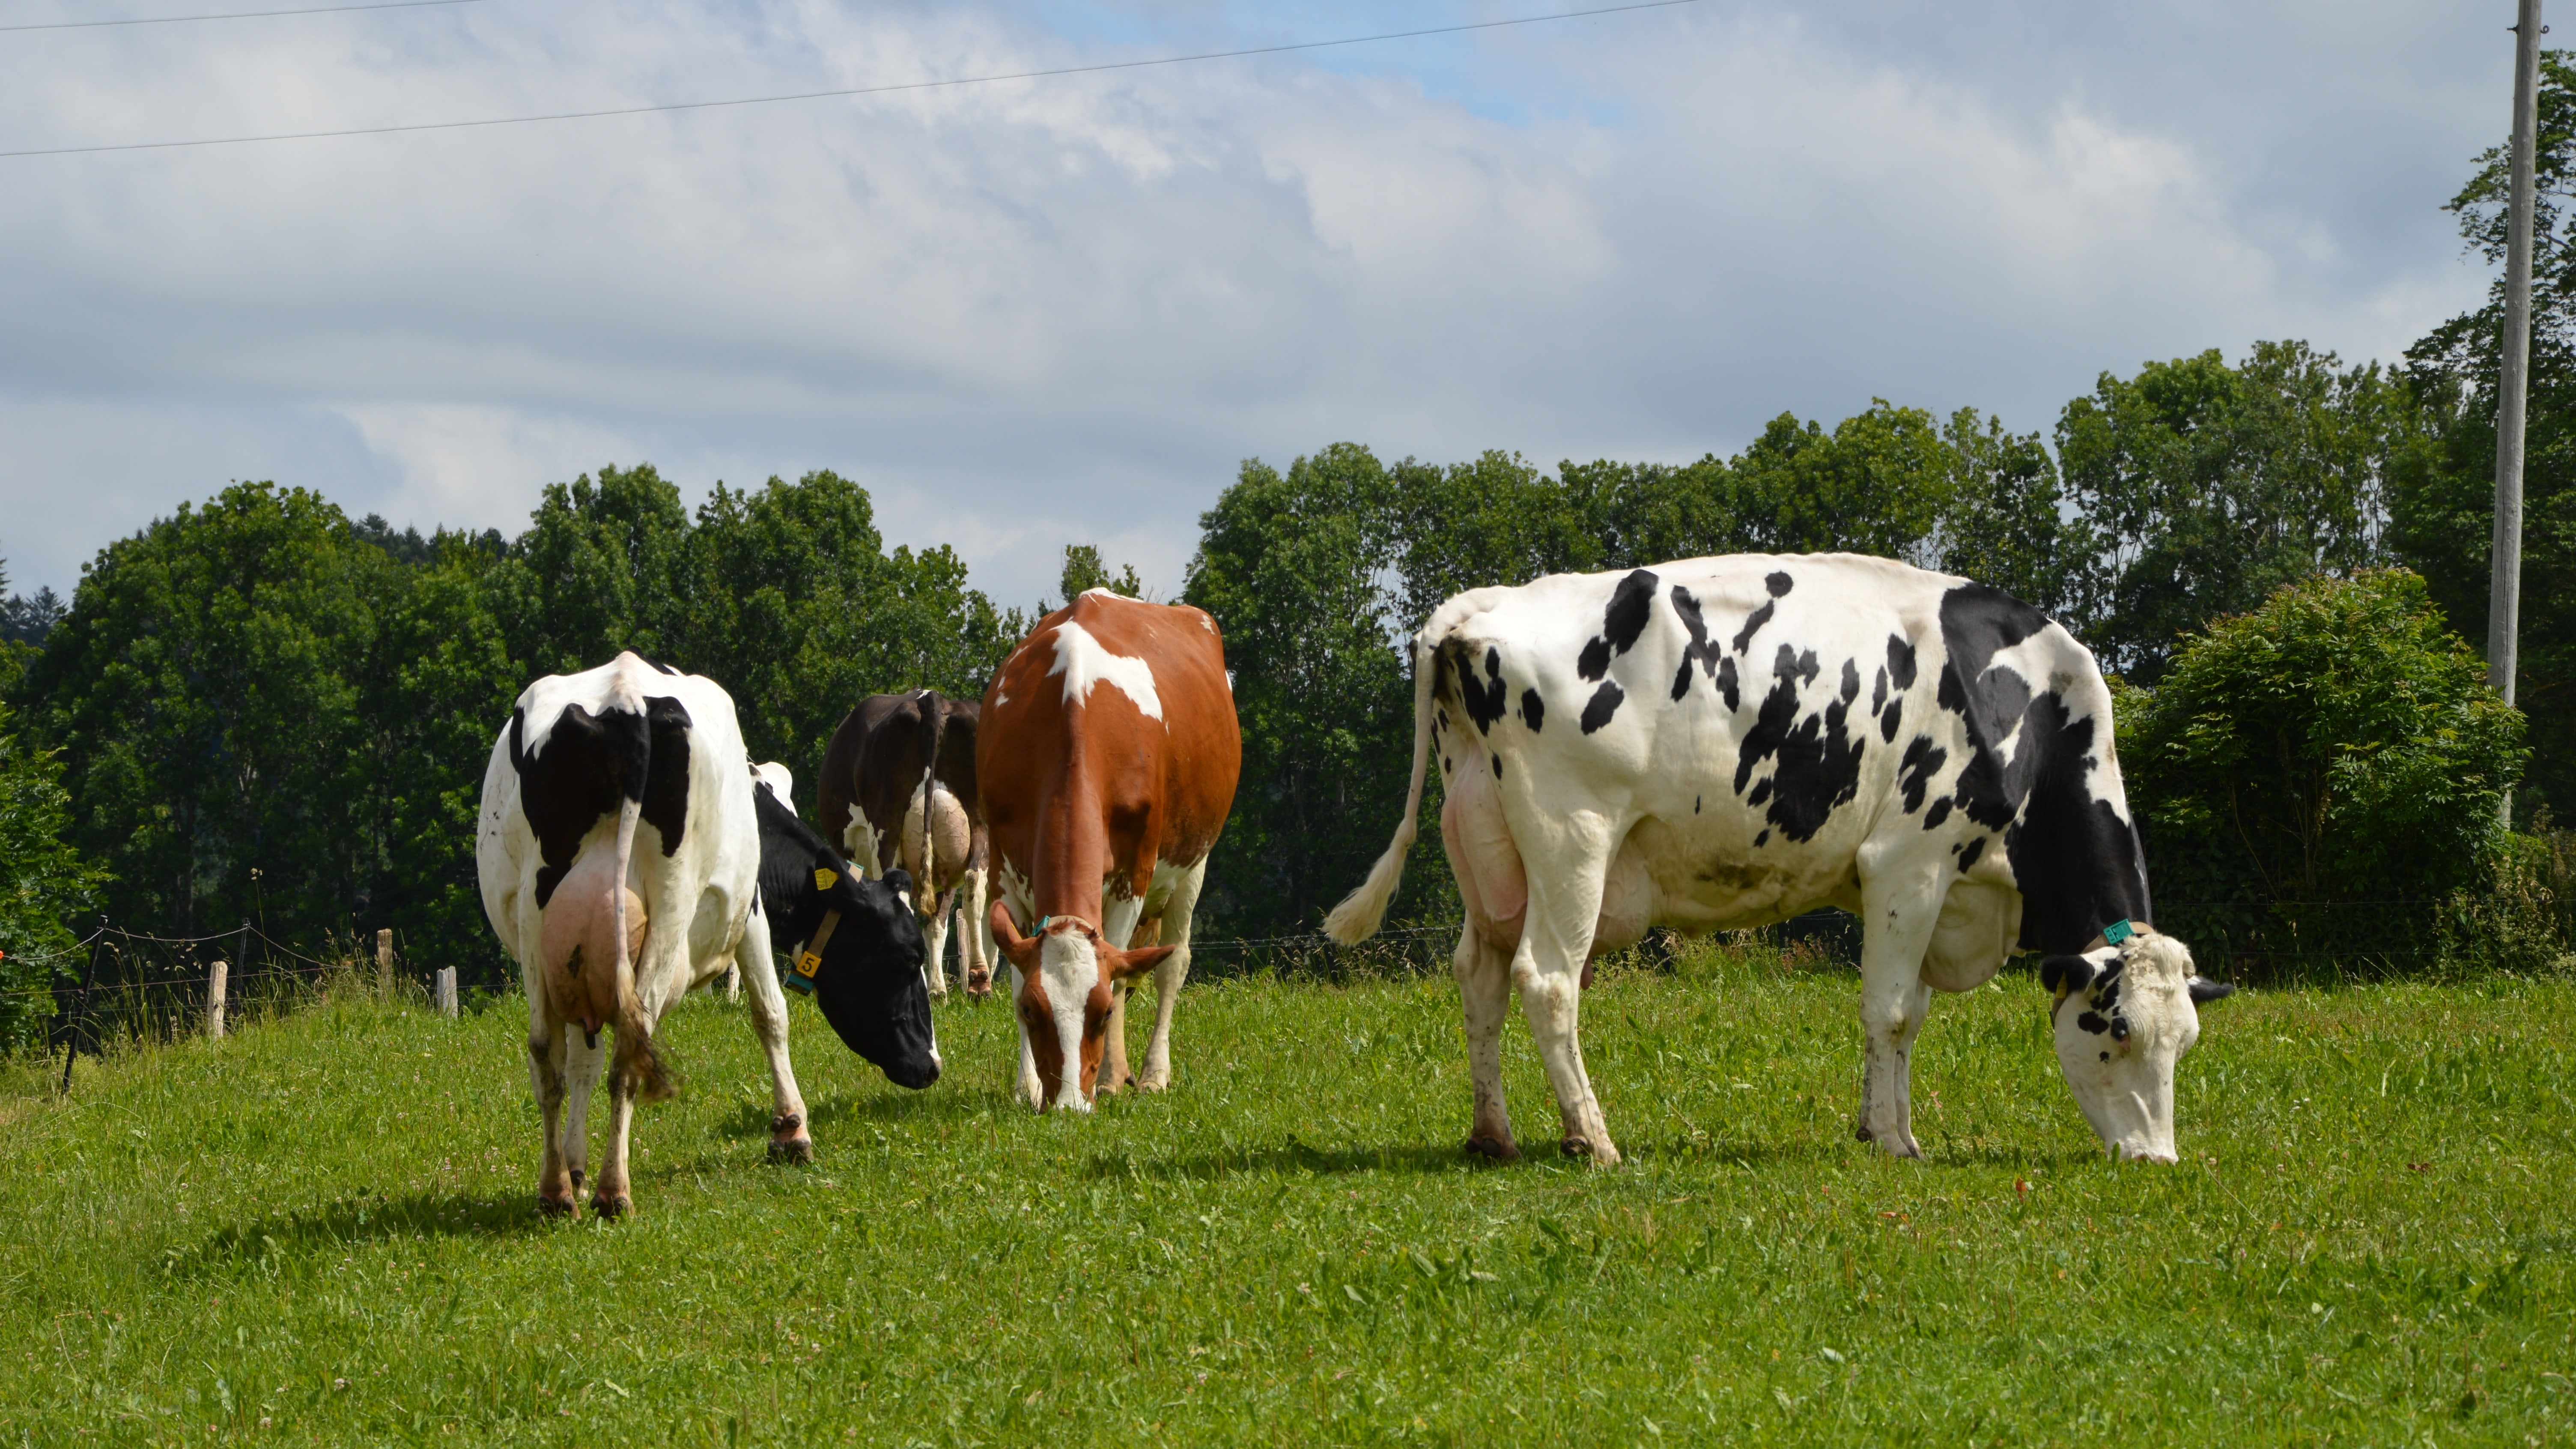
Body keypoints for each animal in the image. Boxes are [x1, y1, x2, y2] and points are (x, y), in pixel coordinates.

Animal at [476, 649, 814, 1212]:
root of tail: (626, 696)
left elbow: (581, 1062)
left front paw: (575, 1166)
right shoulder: (752, 909)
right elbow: (770, 1012)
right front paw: (791, 1130)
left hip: (535, 911)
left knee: (547, 1052)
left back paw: (556, 1191)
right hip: (672, 902)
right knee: (630, 1050)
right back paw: (615, 1191)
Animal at [819, 686, 989, 990]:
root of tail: (931, 697)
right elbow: (937, 926)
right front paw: (937, 989)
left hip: (885, 832)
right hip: (978, 826)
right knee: (974, 885)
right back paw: (979, 980)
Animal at [974, 588, 1236, 1103]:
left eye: (1102, 1015)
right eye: (1033, 1010)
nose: (1070, 1104)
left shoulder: (1134, 875)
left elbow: (1118, 979)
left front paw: (1113, 1076)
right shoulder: (1002, 870)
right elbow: (1014, 970)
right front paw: (1026, 1086)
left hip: (1194, 861)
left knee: (1172, 965)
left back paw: (1152, 1072)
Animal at [1329, 549, 2236, 1160]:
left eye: (2184, 1043)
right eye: (2114, 1031)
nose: (2156, 1159)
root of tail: (1480, 605)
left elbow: (1906, 1013)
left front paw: (1882, 1124)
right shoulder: (1910, 859)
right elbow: (1890, 1009)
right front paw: (1895, 1142)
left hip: (1485, 849)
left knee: (1479, 977)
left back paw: (1494, 1134)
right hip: (1570, 836)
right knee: (1546, 980)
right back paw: (1594, 1139)